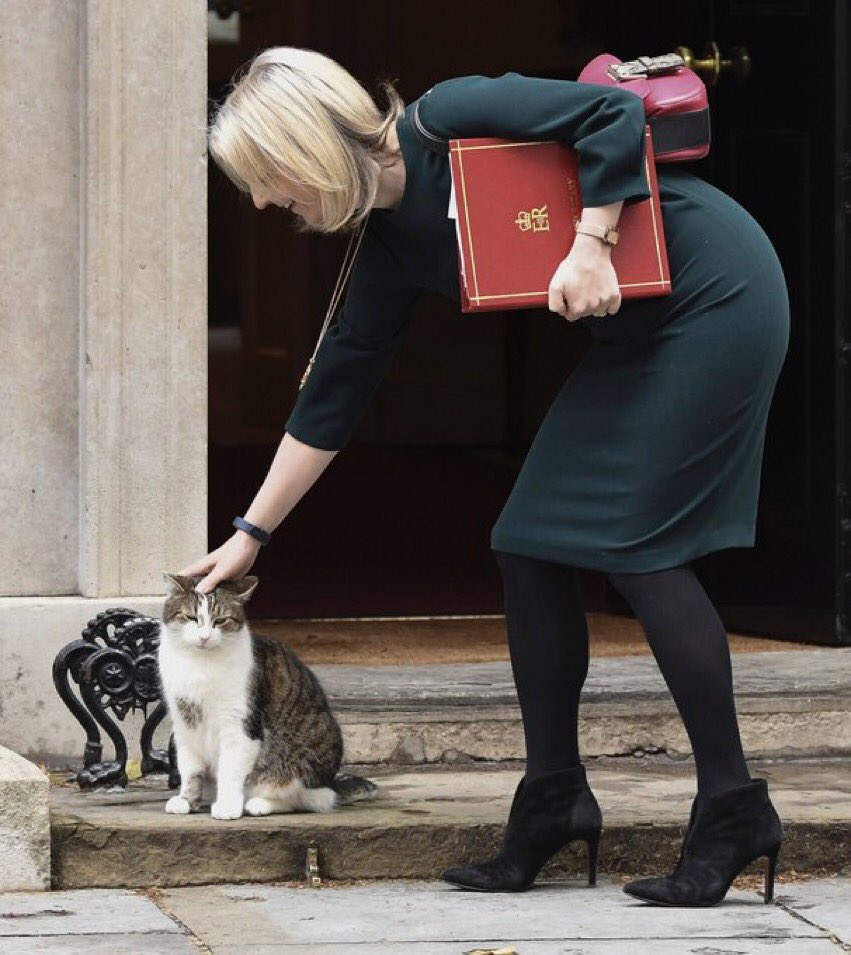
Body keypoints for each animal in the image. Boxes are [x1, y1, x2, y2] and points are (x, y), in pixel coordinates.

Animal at [158, 572, 378, 816]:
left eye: (221, 620)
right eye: (190, 617)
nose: (204, 637)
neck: (198, 663)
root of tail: (332, 783)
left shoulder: (240, 722)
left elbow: (230, 770)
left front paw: (227, 807)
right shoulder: (184, 722)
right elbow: (190, 768)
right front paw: (186, 800)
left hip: (307, 752)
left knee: (305, 798)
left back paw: (258, 804)